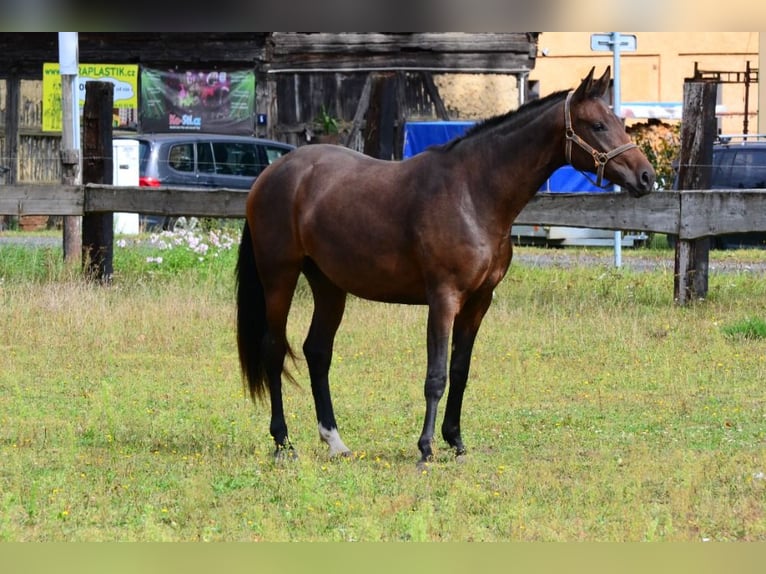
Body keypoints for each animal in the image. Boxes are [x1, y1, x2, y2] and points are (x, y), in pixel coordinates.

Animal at [237, 68, 656, 468]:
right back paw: (283, 443)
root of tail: (271, 174)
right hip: (280, 277)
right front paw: (425, 448)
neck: (472, 193)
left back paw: (335, 441)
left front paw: (455, 441)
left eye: (618, 120)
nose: (646, 176)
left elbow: (460, 371)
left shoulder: (478, 302)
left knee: (317, 351)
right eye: (597, 125)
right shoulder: (443, 299)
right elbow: (435, 376)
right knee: (274, 350)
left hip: (328, 285)